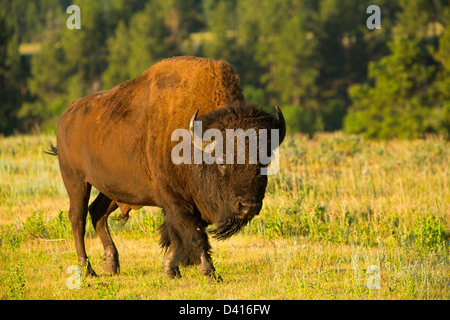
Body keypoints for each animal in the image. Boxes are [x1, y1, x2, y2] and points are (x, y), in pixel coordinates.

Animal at [50, 57, 284, 280]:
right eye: (222, 161)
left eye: (265, 162)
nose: (248, 207)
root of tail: (67, 115)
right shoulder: (176, 201)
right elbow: (194, 235)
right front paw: (210, 273)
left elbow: (176, 237)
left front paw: (170, 270)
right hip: (76, 180)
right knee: (78, 218)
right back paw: (87, 269)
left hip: (113, 189)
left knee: (97, 212)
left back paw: (111, 265)